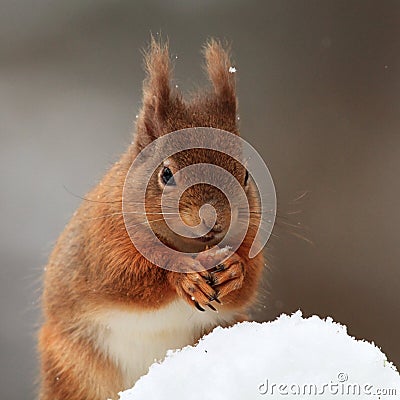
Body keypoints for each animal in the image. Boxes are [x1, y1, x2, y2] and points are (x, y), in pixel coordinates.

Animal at [38, 38, 266, 400]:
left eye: (245, 174)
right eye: (166, 174)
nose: (214, 218)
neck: (190, 246)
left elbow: (249, 282)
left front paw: (235, 270)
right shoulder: (102, 243)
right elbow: (126, 278)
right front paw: (183, 275)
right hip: (74, 371)